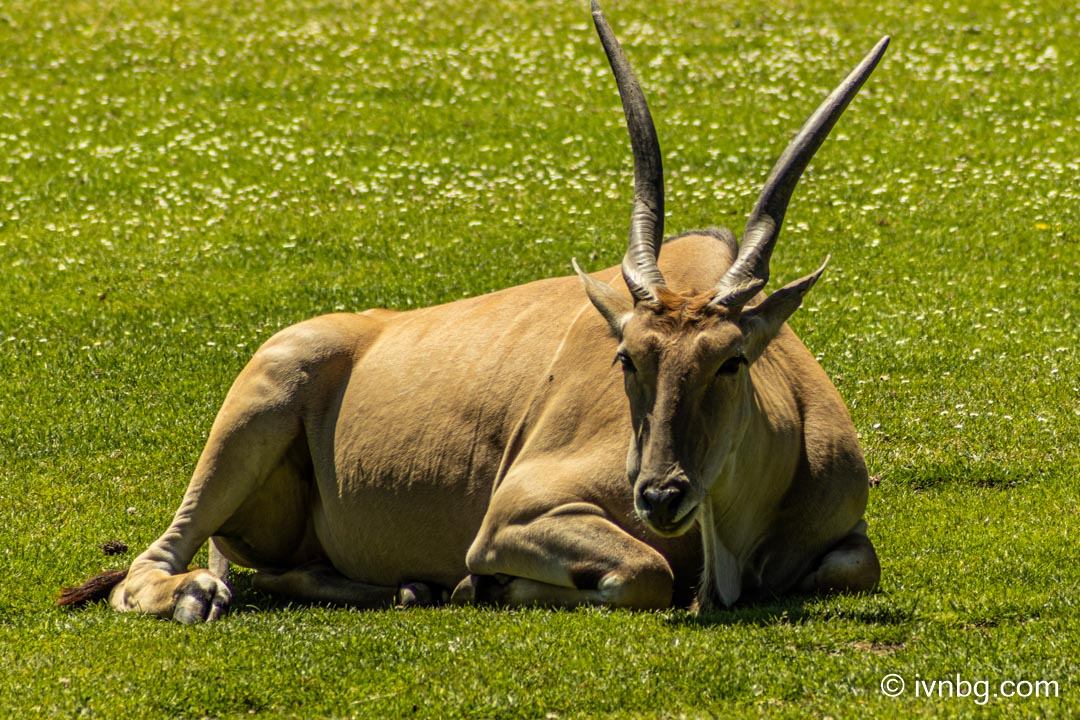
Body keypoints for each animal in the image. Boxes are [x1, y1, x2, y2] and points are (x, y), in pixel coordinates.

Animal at [56, 1, 885, 621]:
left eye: (731, 360)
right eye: (628, 357)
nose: (660, 493)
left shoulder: (845, 541)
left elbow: (856, 564)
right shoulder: (516, 513)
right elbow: (645, 573)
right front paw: (490, 584)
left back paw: (402, 587)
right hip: (258, 406)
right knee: (156, 564)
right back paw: (194, 592)